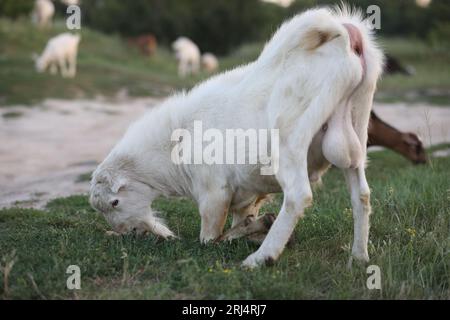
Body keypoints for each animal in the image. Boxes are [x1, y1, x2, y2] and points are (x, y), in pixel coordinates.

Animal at [90, 6, 384, 268]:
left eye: (115, 201)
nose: (129, 232)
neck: (175, 141)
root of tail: (345, 34)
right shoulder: (246, 194)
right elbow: (241, 221)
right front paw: (256, 230)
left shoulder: (213, 193)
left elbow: (211, 239)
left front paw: (259, 231)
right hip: (357, 128)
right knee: (361, 195)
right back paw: (358, 256)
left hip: (289, 140)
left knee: (298, 196)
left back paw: (261, 258)